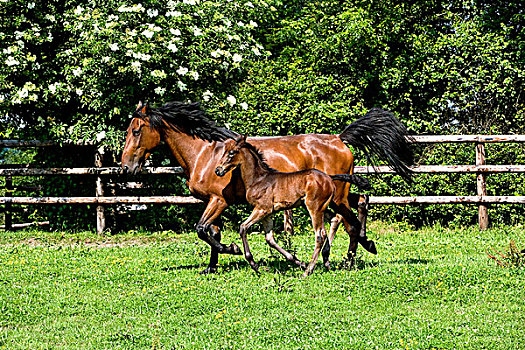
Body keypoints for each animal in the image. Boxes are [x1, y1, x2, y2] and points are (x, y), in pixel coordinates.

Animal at [213, 136, 368, 276]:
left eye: (231, 152)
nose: (218, 170)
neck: (259, 179)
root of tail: (329, 178)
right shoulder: (268, 213)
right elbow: (270, 239)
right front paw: (298, 262)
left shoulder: (262, 209)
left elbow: (243, 227)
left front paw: (254, 265)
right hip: (321, 207)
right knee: (334, 219)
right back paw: (325, 262)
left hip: (314, 207)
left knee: (320, 234)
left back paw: (308, 270)